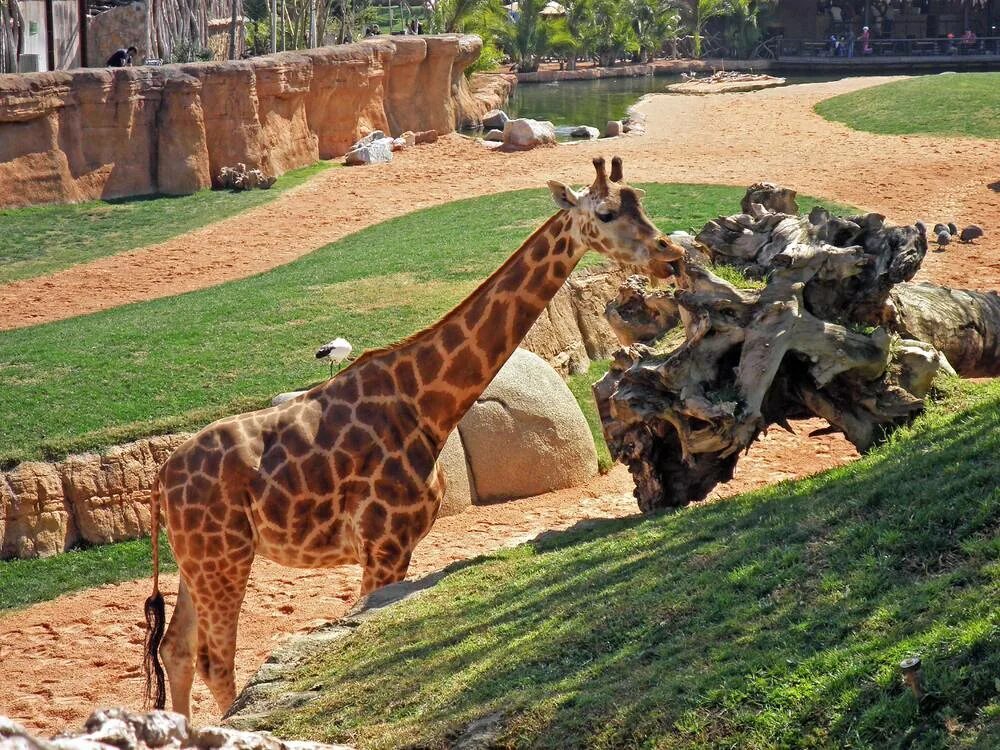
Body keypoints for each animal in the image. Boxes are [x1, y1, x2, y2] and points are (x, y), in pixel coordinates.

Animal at [143, 156, 688, 720]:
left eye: (641, 200)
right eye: (604, 213)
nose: (671, 256)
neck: (430, 404)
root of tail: (160, 481)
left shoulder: (395, 549)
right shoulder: (383, 544)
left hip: (195, 563)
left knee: (176, 649)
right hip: (223, 558)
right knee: (213, 660)